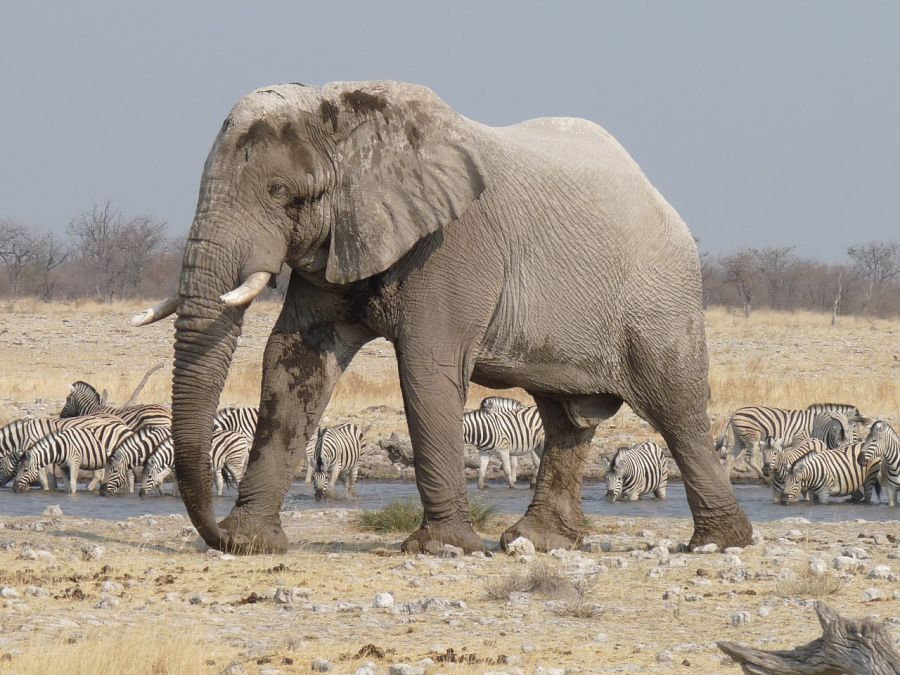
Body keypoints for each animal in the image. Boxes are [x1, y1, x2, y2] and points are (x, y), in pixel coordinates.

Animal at [0, 414, 128, 488]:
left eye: (0, 465)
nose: (1, 486)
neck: (23, 436)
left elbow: (45, 475)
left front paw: (48, 489)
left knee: (99, 474)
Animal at [134, 79, 752, 556]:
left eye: (280, 191)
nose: (215, 533)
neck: (348, 116)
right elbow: (294, 359)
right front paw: (252, 545)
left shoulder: (453, 243)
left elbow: (427, 366)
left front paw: (443, 549)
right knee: (566, 418)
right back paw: (535, 542)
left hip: (661, 298)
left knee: (676, 410)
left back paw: (719, 544)